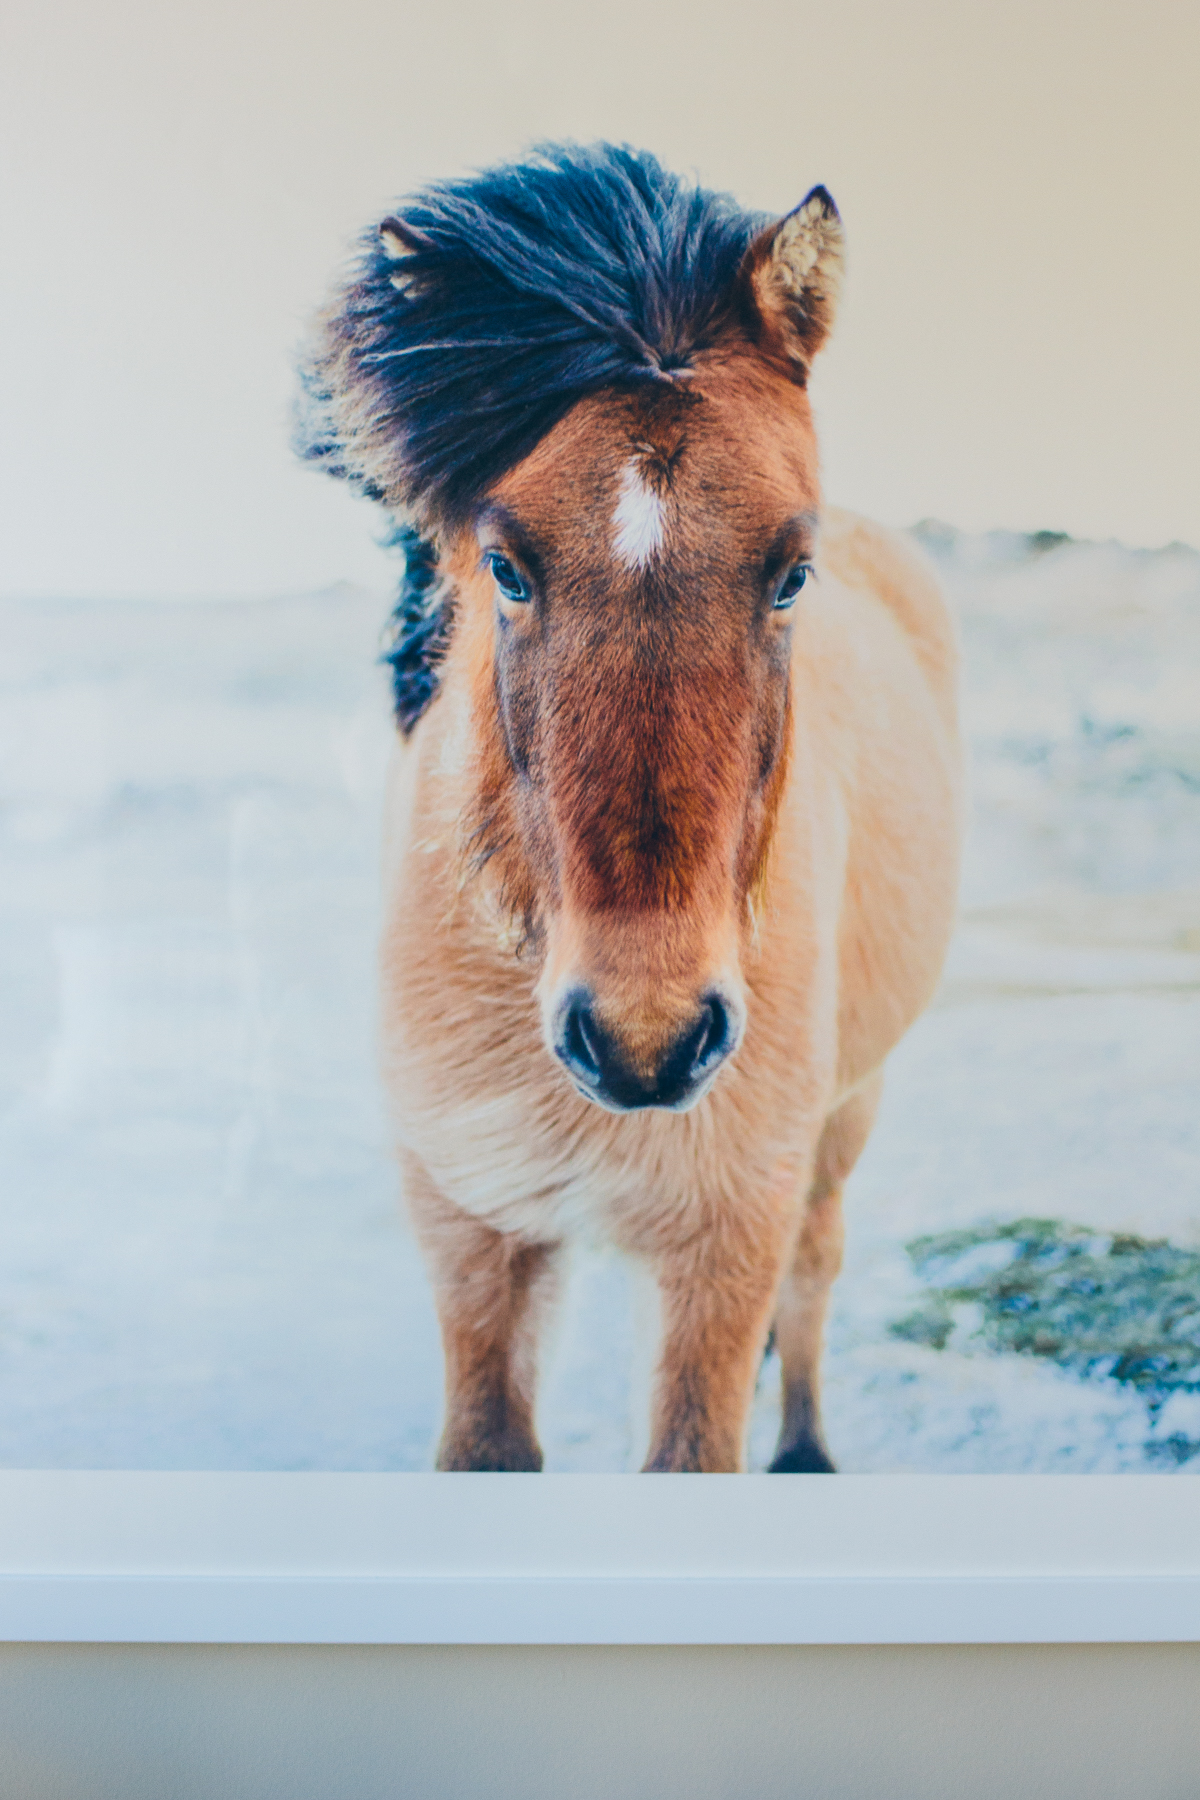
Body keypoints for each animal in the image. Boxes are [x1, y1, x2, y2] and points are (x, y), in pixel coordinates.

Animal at [299, 143, 962, 1472]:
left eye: (793, 571)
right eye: (503, 565)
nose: (644, 1041)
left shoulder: (728, 1245)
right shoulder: (475, 1243)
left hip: (841, 1123)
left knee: (816, 1273)